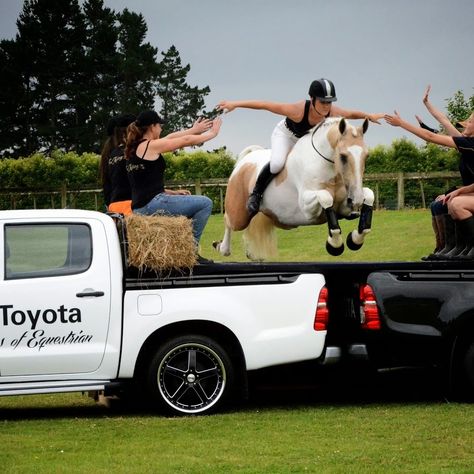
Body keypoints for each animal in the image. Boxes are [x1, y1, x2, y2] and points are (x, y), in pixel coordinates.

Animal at [214, 117, 374, 262]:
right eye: (343, 156)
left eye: (366, 156)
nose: (356, 200)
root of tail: (244, 162)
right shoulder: (308, 208)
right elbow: (325, 197)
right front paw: (335, 245)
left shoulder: (344, 206)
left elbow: (369, 195)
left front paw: (355, 239)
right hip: (239, 215)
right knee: (228, 220)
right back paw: (222, 248)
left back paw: (250, 253)